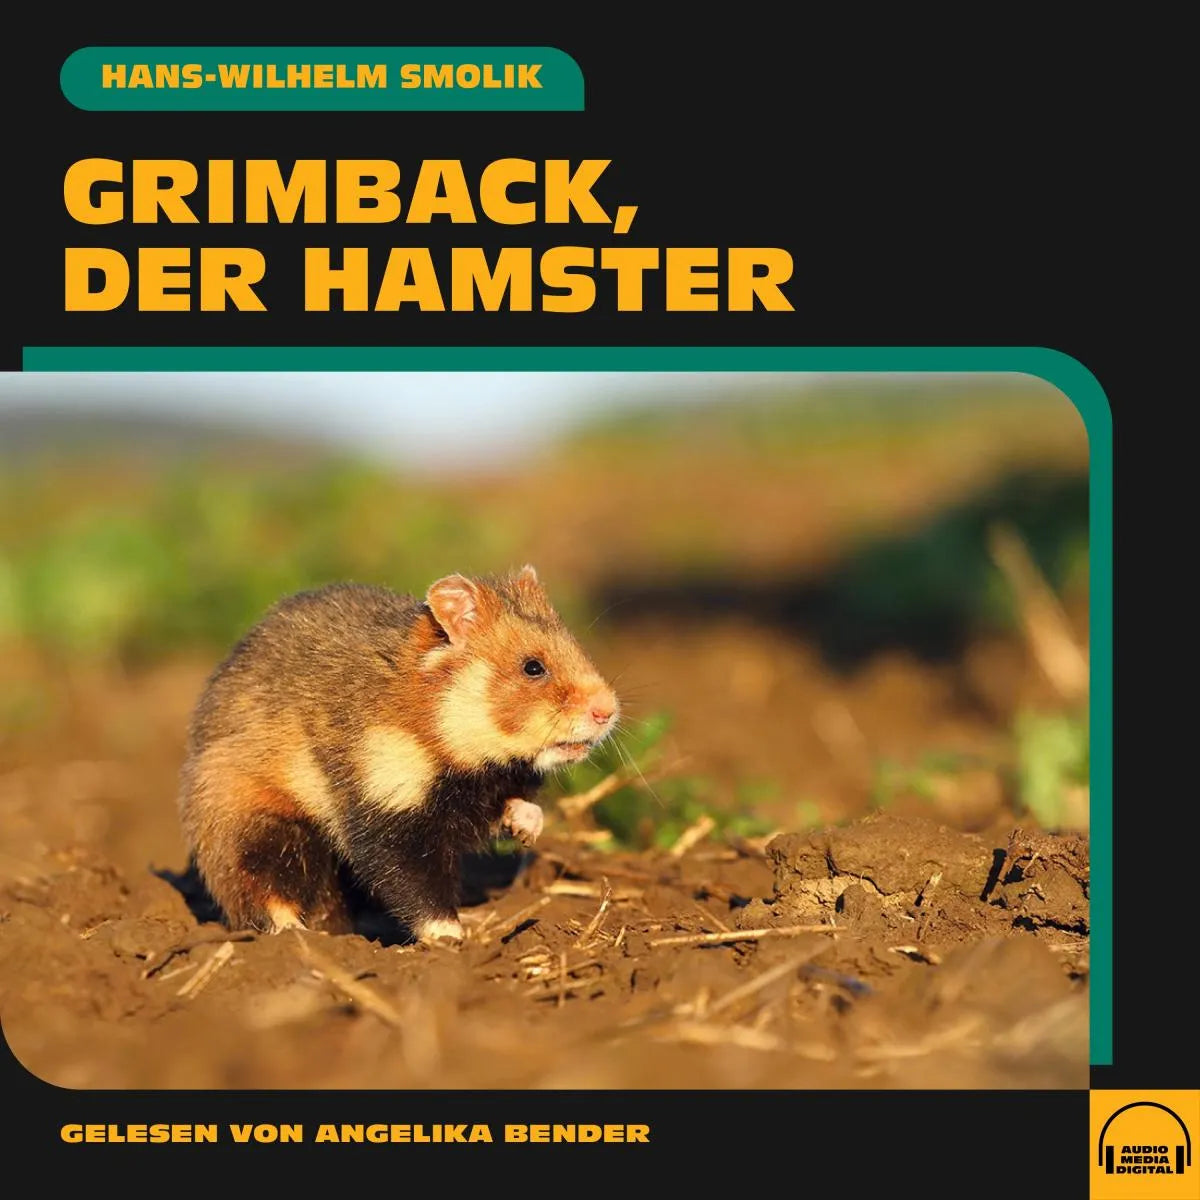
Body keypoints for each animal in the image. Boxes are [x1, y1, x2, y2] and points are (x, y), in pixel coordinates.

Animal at [177, 566, 619, 945]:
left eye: (576, 647)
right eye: (532, 667)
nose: (608, 711)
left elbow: (516, 804)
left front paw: (527, 829)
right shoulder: (385, 803)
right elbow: (413, 882)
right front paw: (452, 939)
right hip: (254, 824)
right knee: (258, 889)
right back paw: (298, 937)